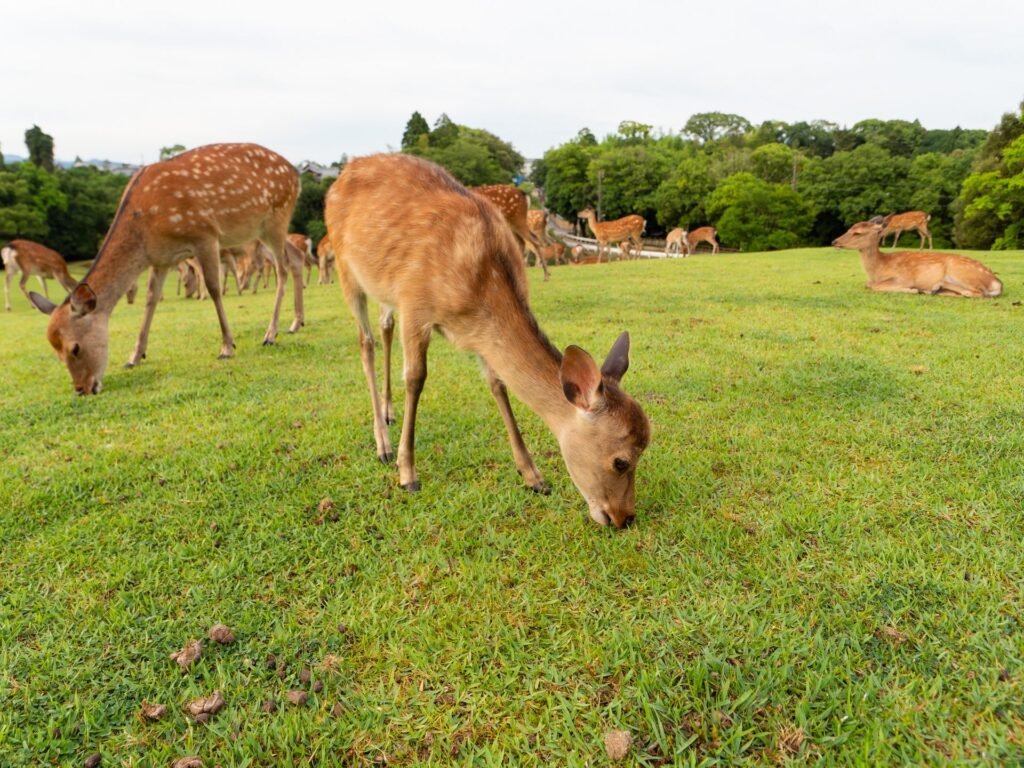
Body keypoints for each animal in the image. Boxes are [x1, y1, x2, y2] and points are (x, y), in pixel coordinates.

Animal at [29, 143, 303, 397]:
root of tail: (296, 174)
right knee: (296, 258)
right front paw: (134, 357)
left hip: (276, 217)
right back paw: (296, 323)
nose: (82, 389)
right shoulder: (160, 259)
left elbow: (214, 288)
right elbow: (151, 299)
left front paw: (227, 347)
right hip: (263, 230)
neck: (145, 227)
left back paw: (271, 334)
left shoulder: (205, 234)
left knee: (282, 268)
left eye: (75, 348)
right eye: (56, 352)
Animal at [323, 156, 651, 528]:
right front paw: (408, 474)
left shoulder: (477, 335)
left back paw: (389, 413)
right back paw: (383, 444)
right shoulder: (414, 304)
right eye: (620, 461)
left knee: (384, 328)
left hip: (383, 289)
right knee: (366, 343)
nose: (624, 517)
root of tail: (342, 175)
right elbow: (416, 378)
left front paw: (534, 476)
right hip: (347, 268)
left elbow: (498, 384)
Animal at [831, 219, 999, 301]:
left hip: (962, 272)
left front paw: (911, 289)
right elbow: (868, 285)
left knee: (980, 293)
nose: (834, 241)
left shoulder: (903, 277)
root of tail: (997, 282)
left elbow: (875, 286)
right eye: (849, 229)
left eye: (857, 233)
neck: (879, 269)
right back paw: (934, 290)